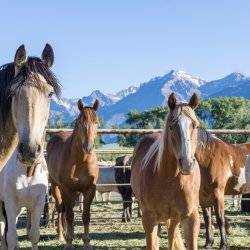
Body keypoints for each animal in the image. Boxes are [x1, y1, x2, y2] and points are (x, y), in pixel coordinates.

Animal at [46, 98, 99, 249]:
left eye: (96, 122)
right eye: (80, 122)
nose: (88, 147)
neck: (80, 161)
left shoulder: (90, 189)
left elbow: (86, 216)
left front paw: (87, 243)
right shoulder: (66, 188)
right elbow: (69, 215)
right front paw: (68, 243)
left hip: (75, 192)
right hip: (56, 187)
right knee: (60, 209)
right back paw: (62, 235)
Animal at [132, 92, 200, 250]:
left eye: (195, 125)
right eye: (172, 126)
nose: (187, 163)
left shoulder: (191, 217)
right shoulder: (149, 219)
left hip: (174, 218)